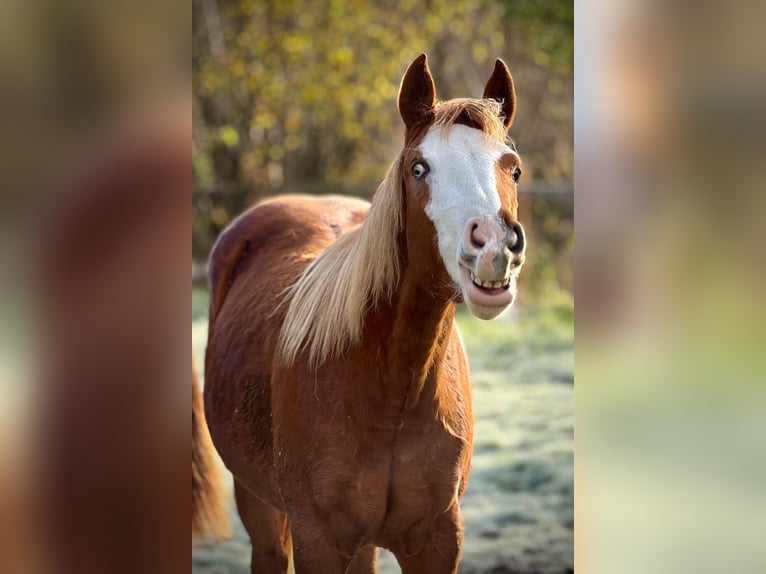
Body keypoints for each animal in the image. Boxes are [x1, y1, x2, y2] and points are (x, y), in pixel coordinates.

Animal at [193, 54, 526, 573]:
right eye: (419, 168)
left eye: (513, 171)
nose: (494, 246)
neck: (393, 387)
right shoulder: (318, 540)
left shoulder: (438, 541)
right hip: (257, 502)